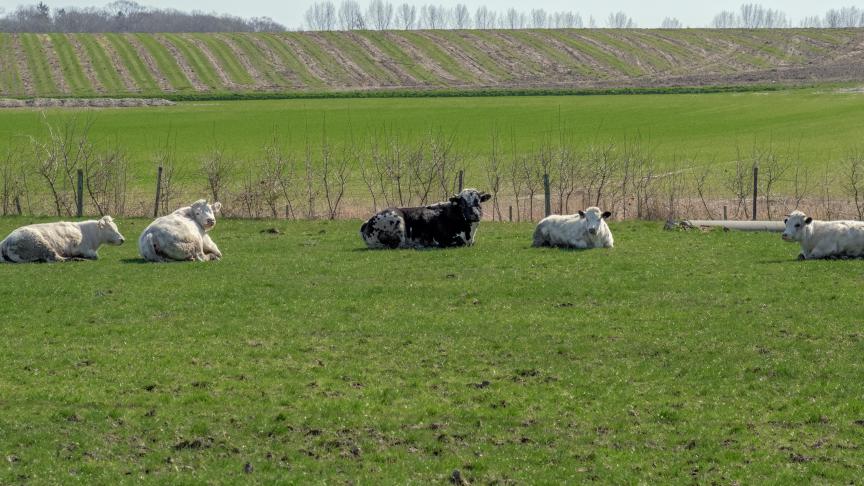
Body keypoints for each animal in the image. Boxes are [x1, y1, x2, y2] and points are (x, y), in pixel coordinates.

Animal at [360, 189, 492, 249]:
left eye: (478, 201)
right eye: (462, 203)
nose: (474, 215)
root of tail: (367, 222)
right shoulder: (442, 238)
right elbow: (458, 242)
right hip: (397, 220)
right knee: (400, 244)